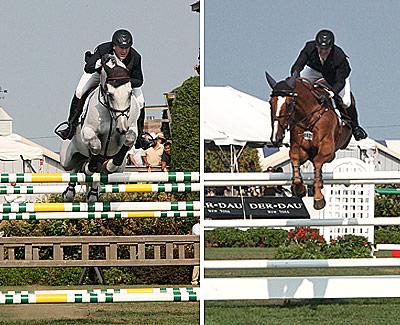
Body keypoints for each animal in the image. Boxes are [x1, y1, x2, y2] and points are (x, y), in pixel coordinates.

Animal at [59, 55, 141, 201]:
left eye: (130, 93)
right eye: (109, 94)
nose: (122, 128)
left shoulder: (130, 128)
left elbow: (129, 139)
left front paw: (109, 165)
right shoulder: (88, 131)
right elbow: (96, 146)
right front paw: (90, 167)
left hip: (121, 168)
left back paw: (93, 192)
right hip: (67, 159)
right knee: (74, 168)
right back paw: (69, 192)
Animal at [268, 72, 352, 209]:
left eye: (289, 103)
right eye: (270, 103)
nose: (276, 138)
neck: (309, 117)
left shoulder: (329, 151)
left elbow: (317, 162)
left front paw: (318, 198)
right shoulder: (301, 149)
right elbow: (294, 156)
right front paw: (299, 188)